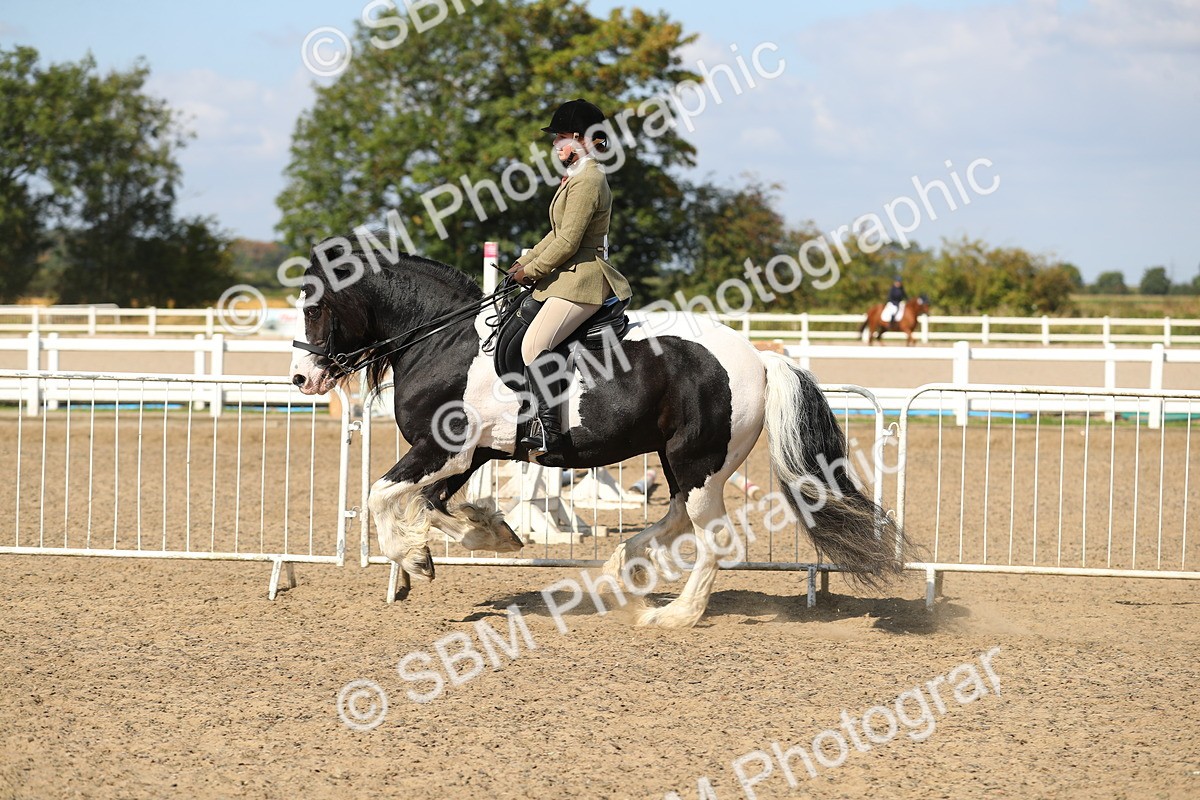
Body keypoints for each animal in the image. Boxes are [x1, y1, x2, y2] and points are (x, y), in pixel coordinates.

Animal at [290, 243, 909, 628]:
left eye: (316, 307)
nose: (302, 379)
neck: (446, 341)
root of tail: (758, 359)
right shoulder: (470, 454)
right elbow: (432, 504)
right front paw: (486, 537)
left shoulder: (446, 447)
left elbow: (381, 493)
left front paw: (413, 561)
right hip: (679, 461)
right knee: (676, 517)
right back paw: (623, 566)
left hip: (698, 462)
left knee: (713, 539)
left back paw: (672, 615)